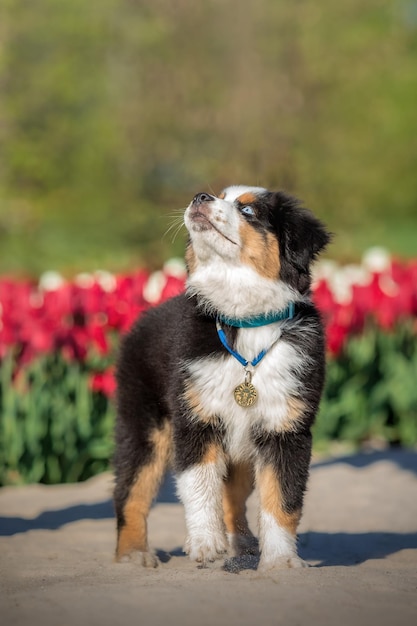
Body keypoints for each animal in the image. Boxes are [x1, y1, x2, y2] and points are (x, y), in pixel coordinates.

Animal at [112, 183, 330, 568]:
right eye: (219, 195)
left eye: (248, 211)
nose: (199, 197)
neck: (245, 323)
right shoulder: (195, 418)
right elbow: (199, 486)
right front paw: (204, 543)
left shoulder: (286, 427)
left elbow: (282, 498)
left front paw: (281, 561)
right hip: (143, 425)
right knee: (131, 490)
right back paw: (134, 552)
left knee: (234, 496)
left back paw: (241, 542)